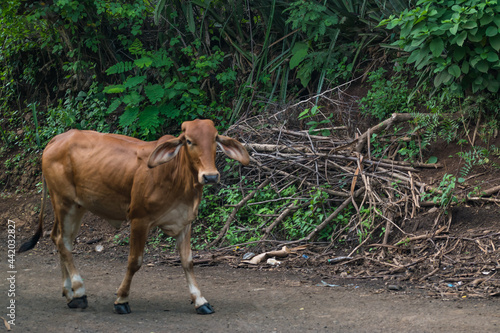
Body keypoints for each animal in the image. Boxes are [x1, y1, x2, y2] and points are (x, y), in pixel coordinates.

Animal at [19, 118, 250, 314]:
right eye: (189, 141)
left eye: (214, 139)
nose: (210, 176)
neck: (175, 174)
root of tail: (57, 139)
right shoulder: (140, 220)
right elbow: (134, 261)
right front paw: (121, 299)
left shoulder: (184, 222)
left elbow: (188, 262)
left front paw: (200, 300)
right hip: (63, 202)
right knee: (62, 241)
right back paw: (79, 291)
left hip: (78, 206)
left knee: (61, 239)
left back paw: (70, 294)